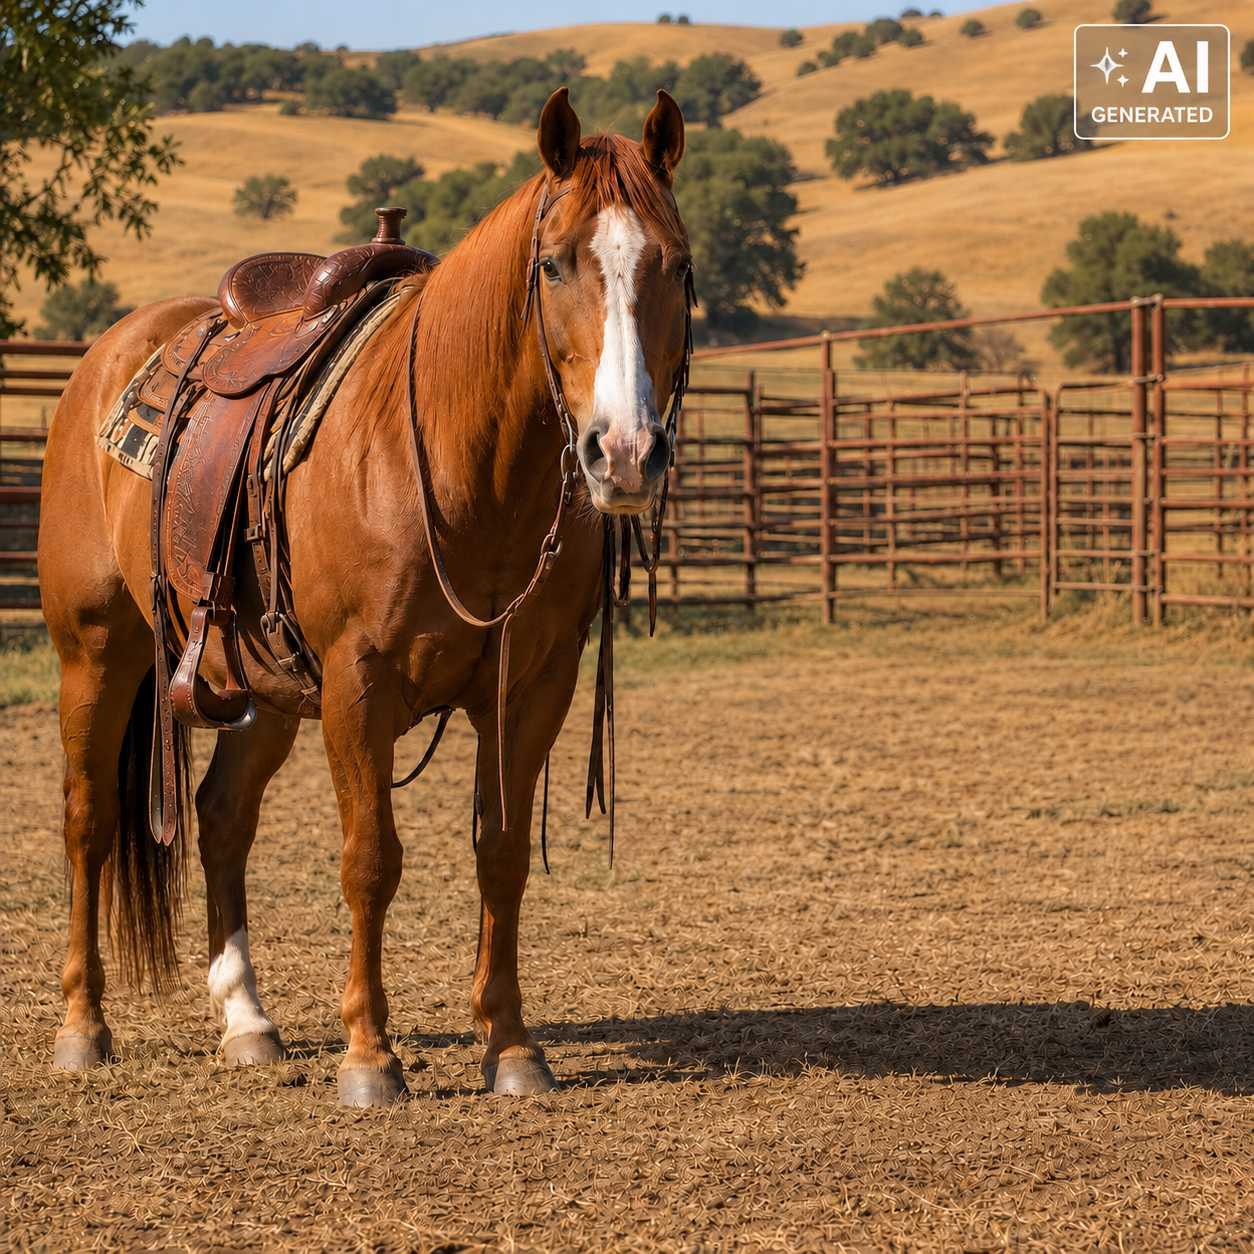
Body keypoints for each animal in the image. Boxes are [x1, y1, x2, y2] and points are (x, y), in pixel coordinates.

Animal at [36, 87, 691, 1106]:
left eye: (677, 263)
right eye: (553, 264)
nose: (624, 452)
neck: (466, 469)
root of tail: (108, 359)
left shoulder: (533, 688)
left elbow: (502, 854)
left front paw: (511, 1047)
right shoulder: (359, 684)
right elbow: (370, 860)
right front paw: (370, 1056)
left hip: (257, 684)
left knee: (222, 816)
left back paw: (248, 1020)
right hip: (95, 650)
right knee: (88, 820)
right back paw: (83, 1027)